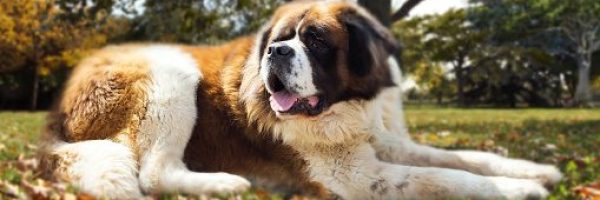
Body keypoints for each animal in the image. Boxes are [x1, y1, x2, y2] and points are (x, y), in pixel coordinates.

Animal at [41, 0, 564, 199]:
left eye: (314, 40)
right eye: (279, 39)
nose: (276, 51)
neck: (347, 105)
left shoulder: (385, 142)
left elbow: (462, 157)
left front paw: (534, 171)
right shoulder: (353, 176)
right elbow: (443, 177)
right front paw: (519, 190)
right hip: (172, 72)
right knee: (151, 172)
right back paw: (227, 183)